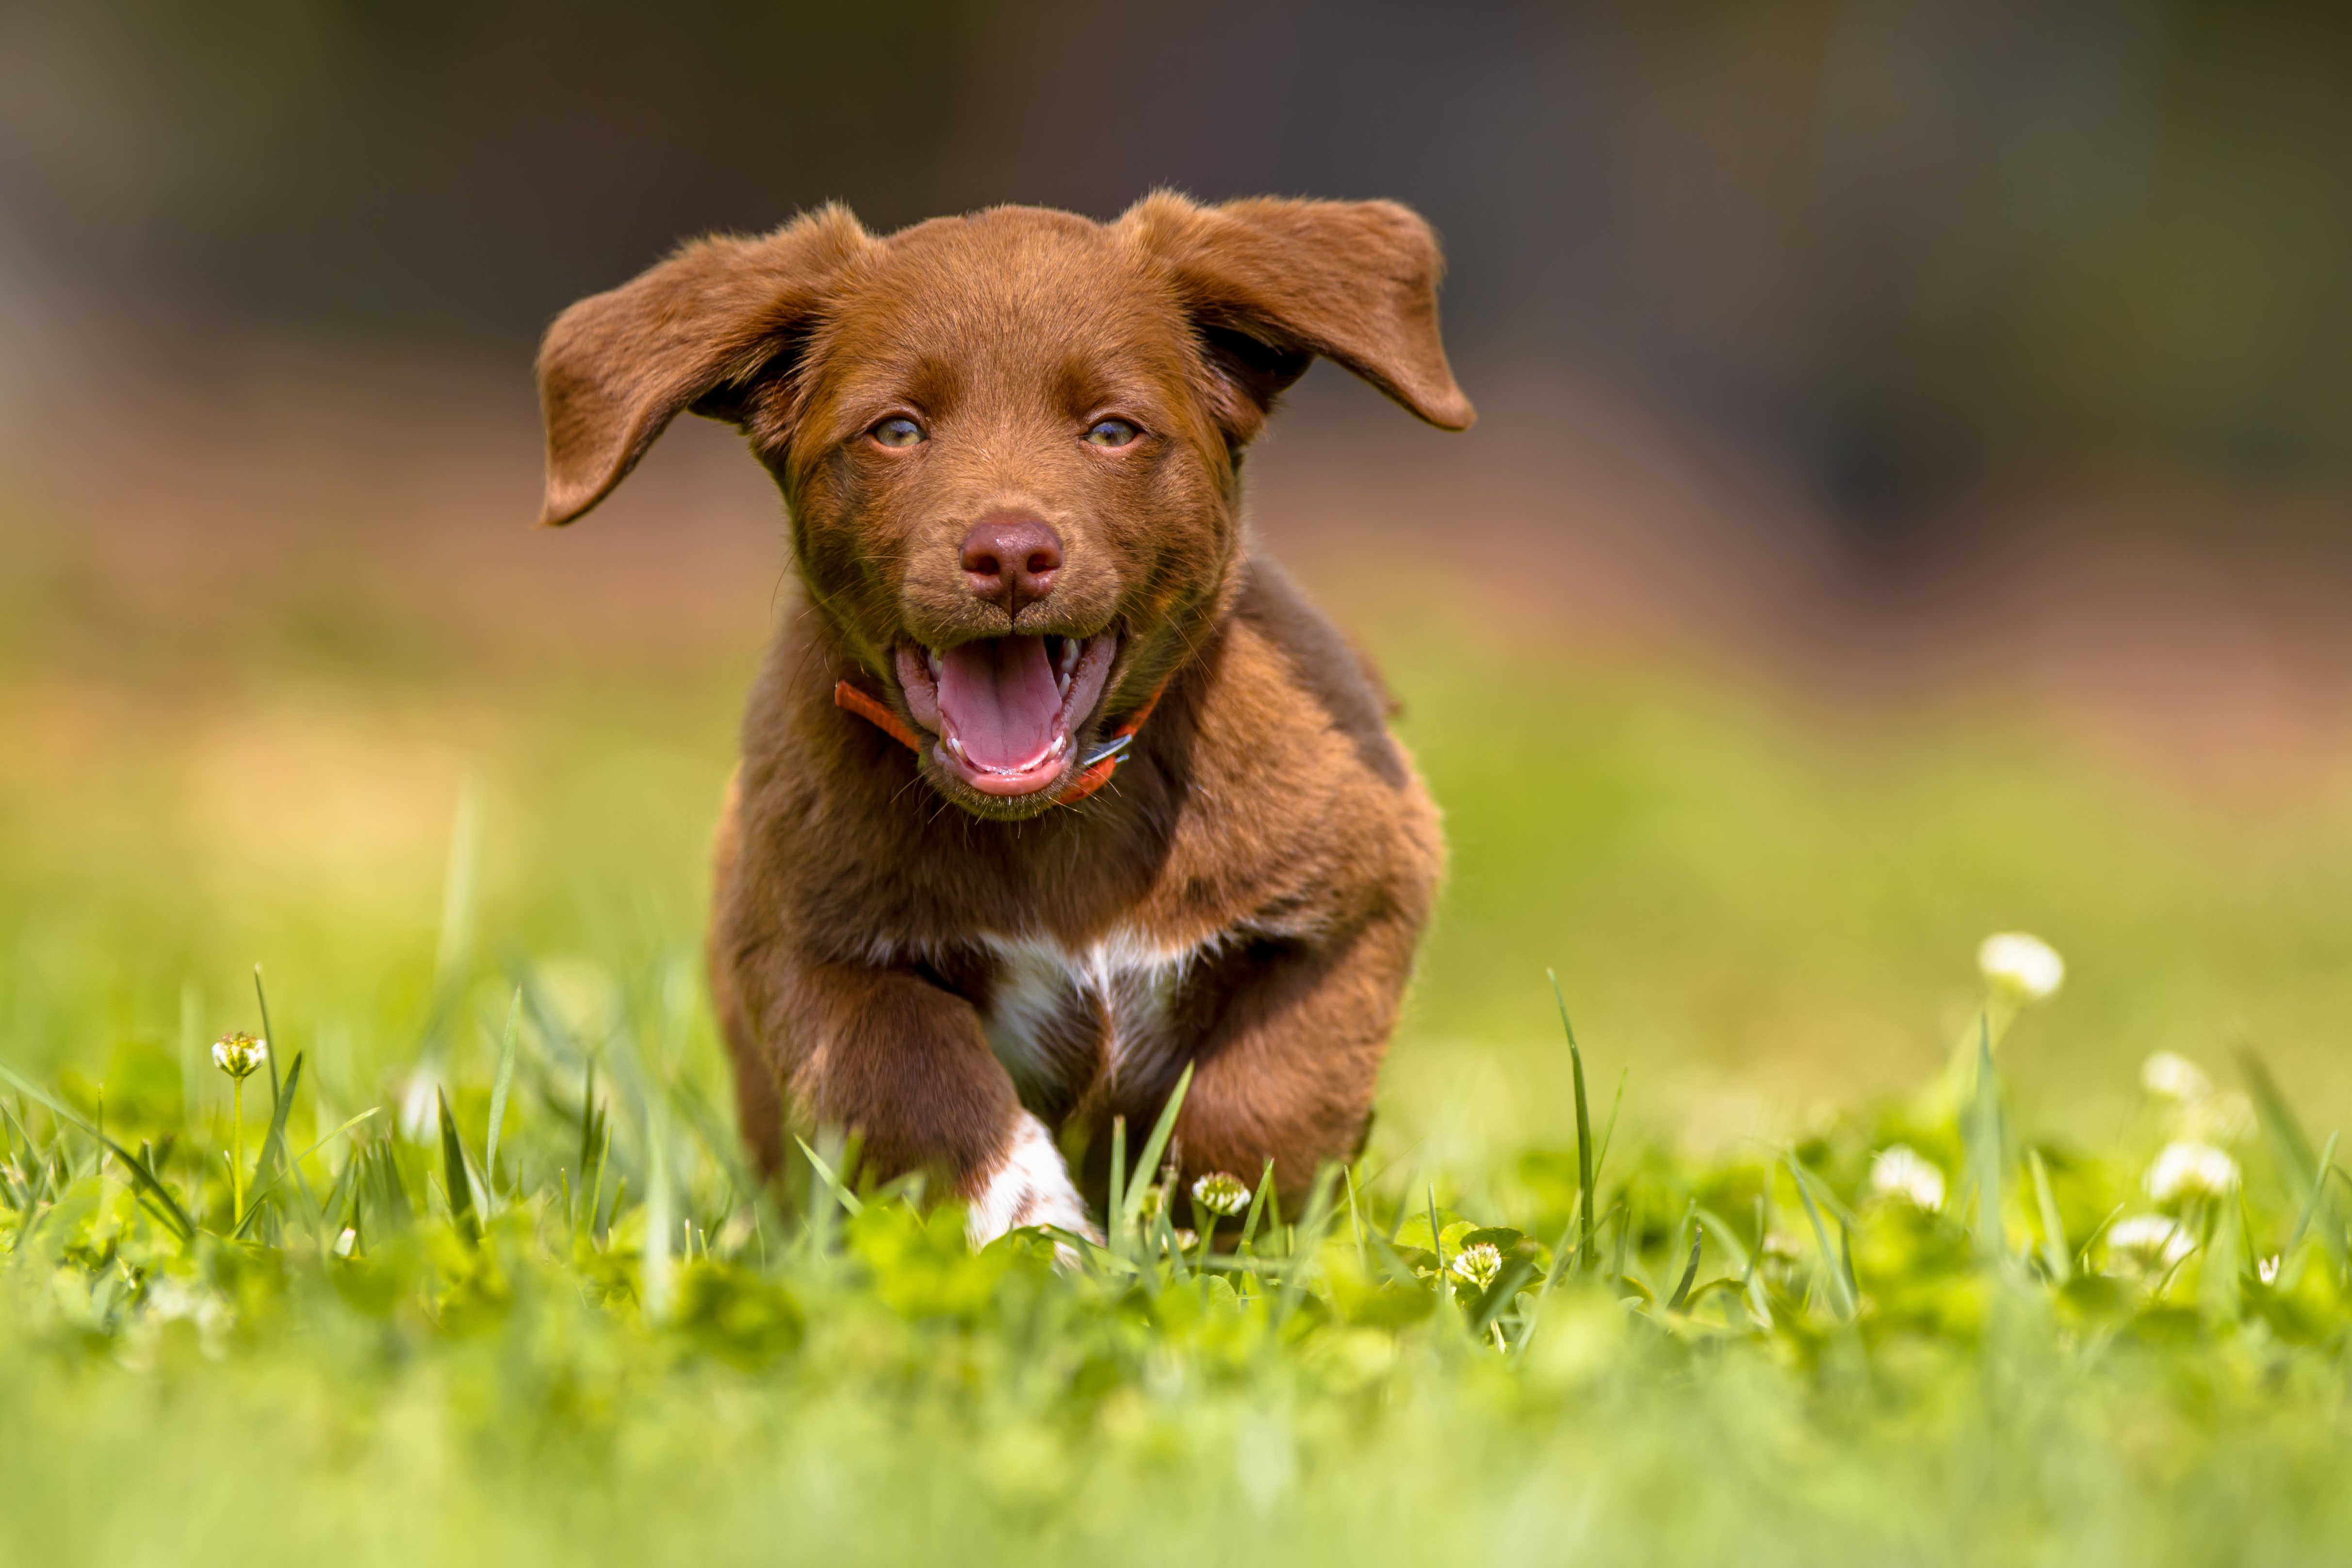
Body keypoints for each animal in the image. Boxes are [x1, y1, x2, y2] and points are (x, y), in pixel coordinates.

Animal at [539, 193, 1468, 1241]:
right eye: (897, 430)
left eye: (1112, 431)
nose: (1012, 556)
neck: (1059, 818)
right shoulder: (803, 942)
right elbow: (919, 1088)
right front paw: (1042, 1239)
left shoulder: (1365, 889)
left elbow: (1267, 1101)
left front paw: (1207, 1234)